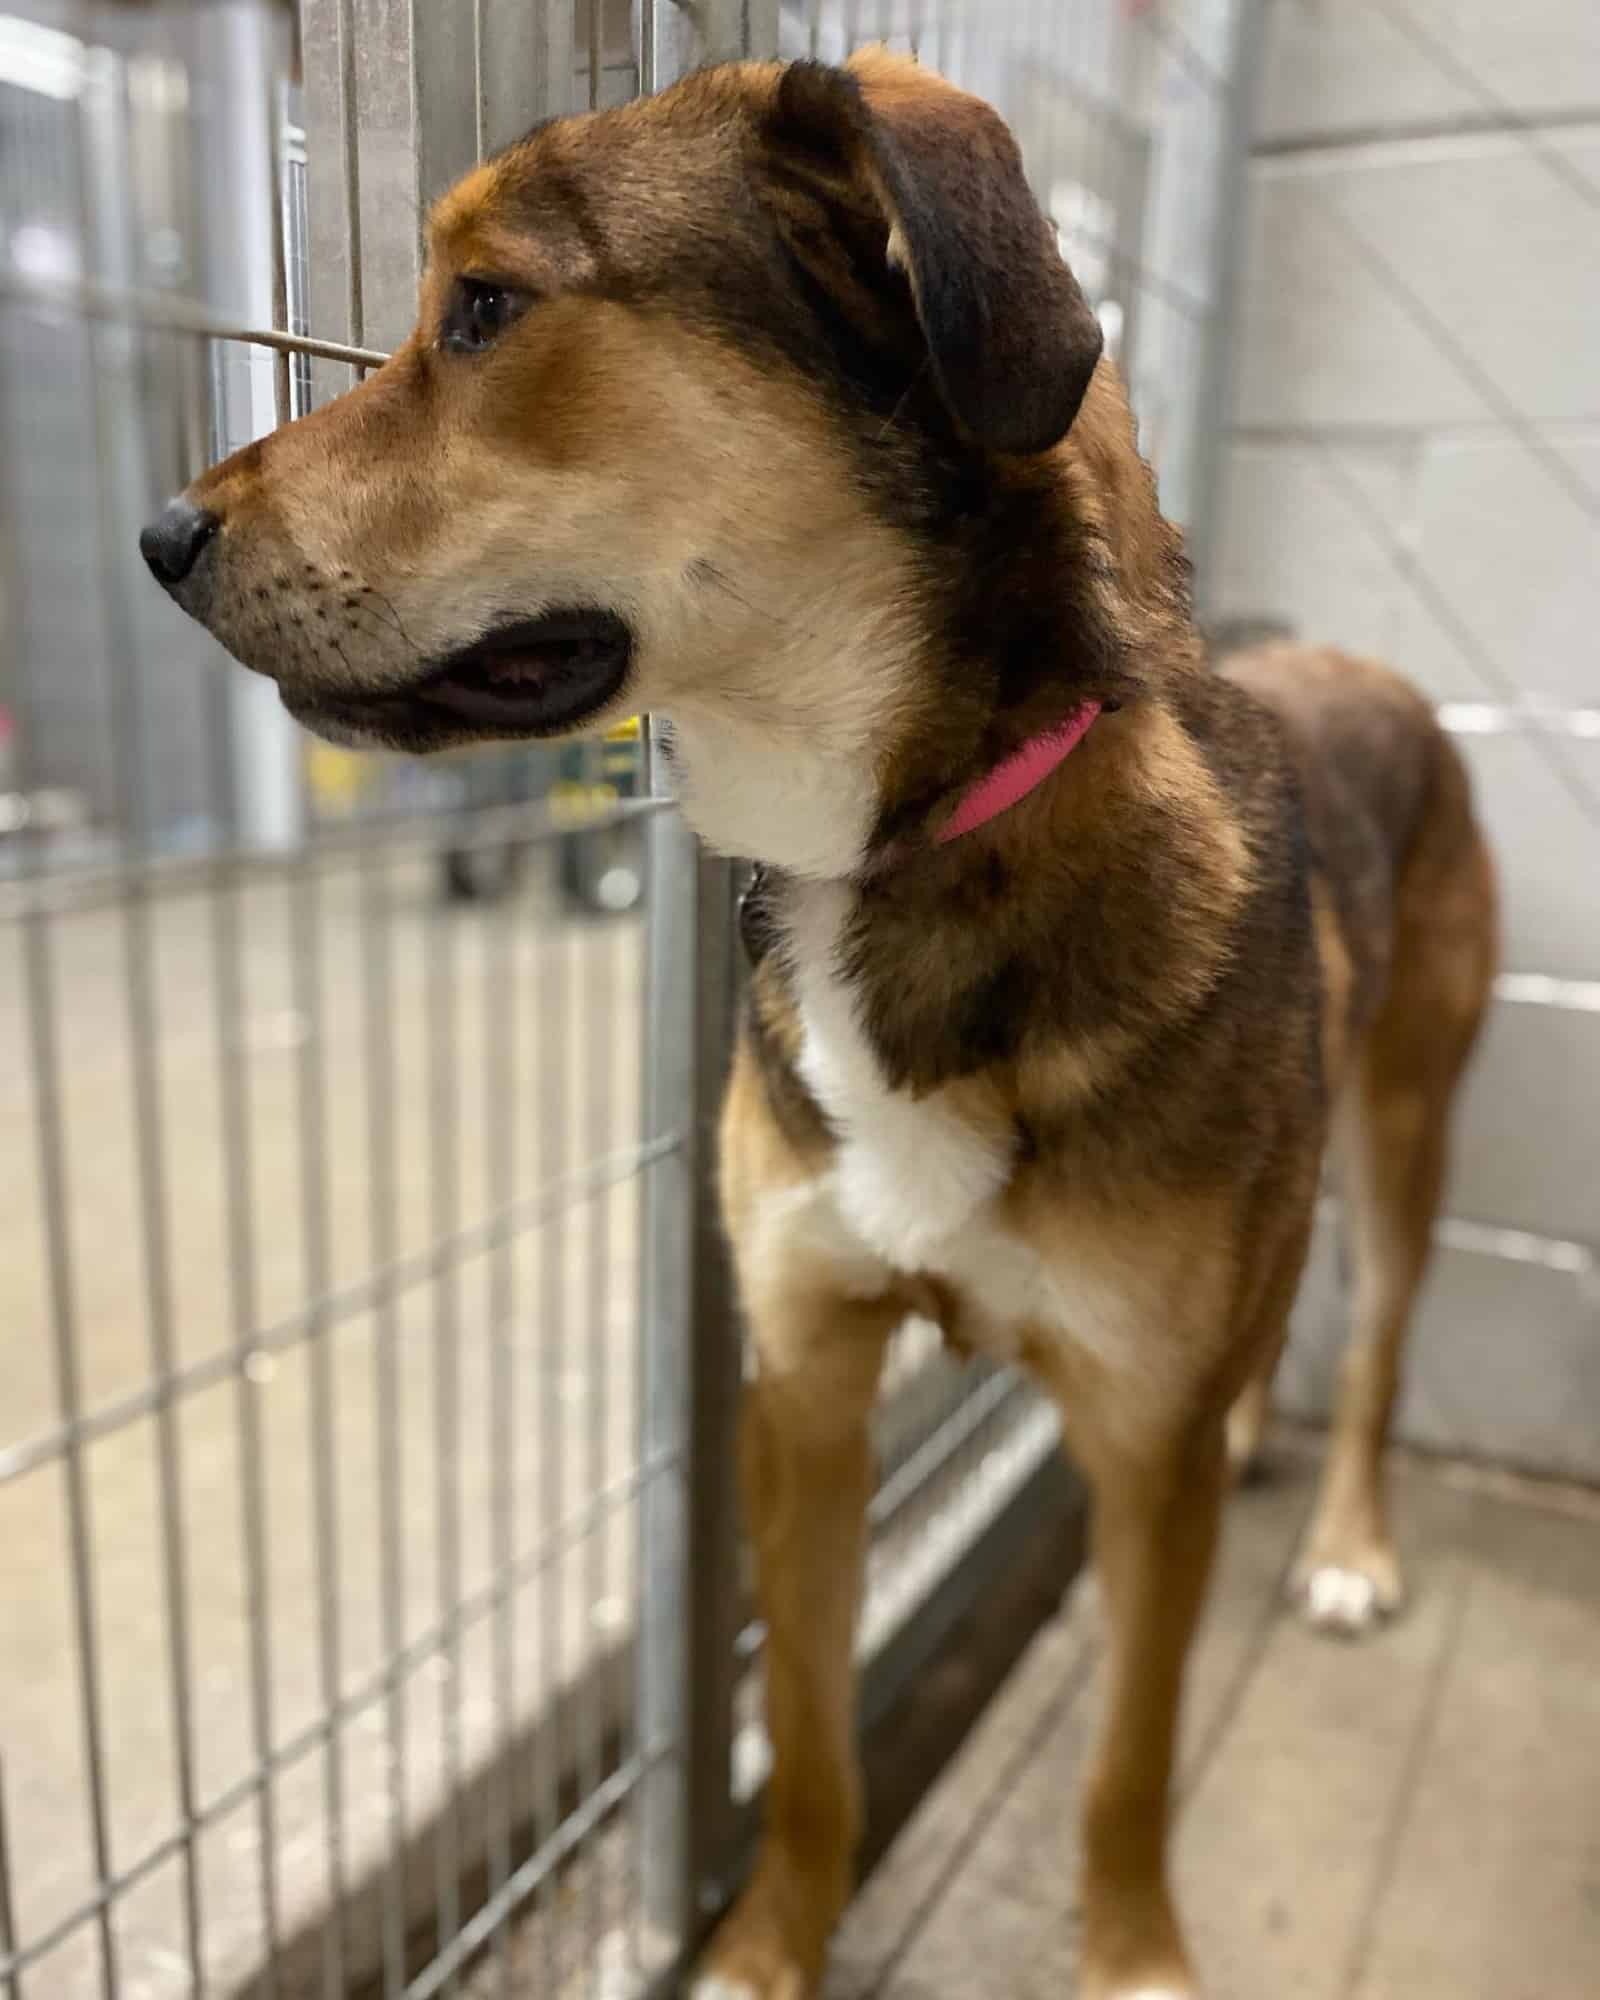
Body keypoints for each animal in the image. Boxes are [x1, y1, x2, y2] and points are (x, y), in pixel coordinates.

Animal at [141, 43, 1504, 2000]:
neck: (908, 838)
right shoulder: (804, 1386)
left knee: (1379, 1344)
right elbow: (801, 1731)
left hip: (1407, 1135)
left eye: (483, 310)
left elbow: (1127, 1758)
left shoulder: (1132, 1444)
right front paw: (770, 1943)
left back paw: (1344, 1545)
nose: (159, 536)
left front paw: (1133, 1956)